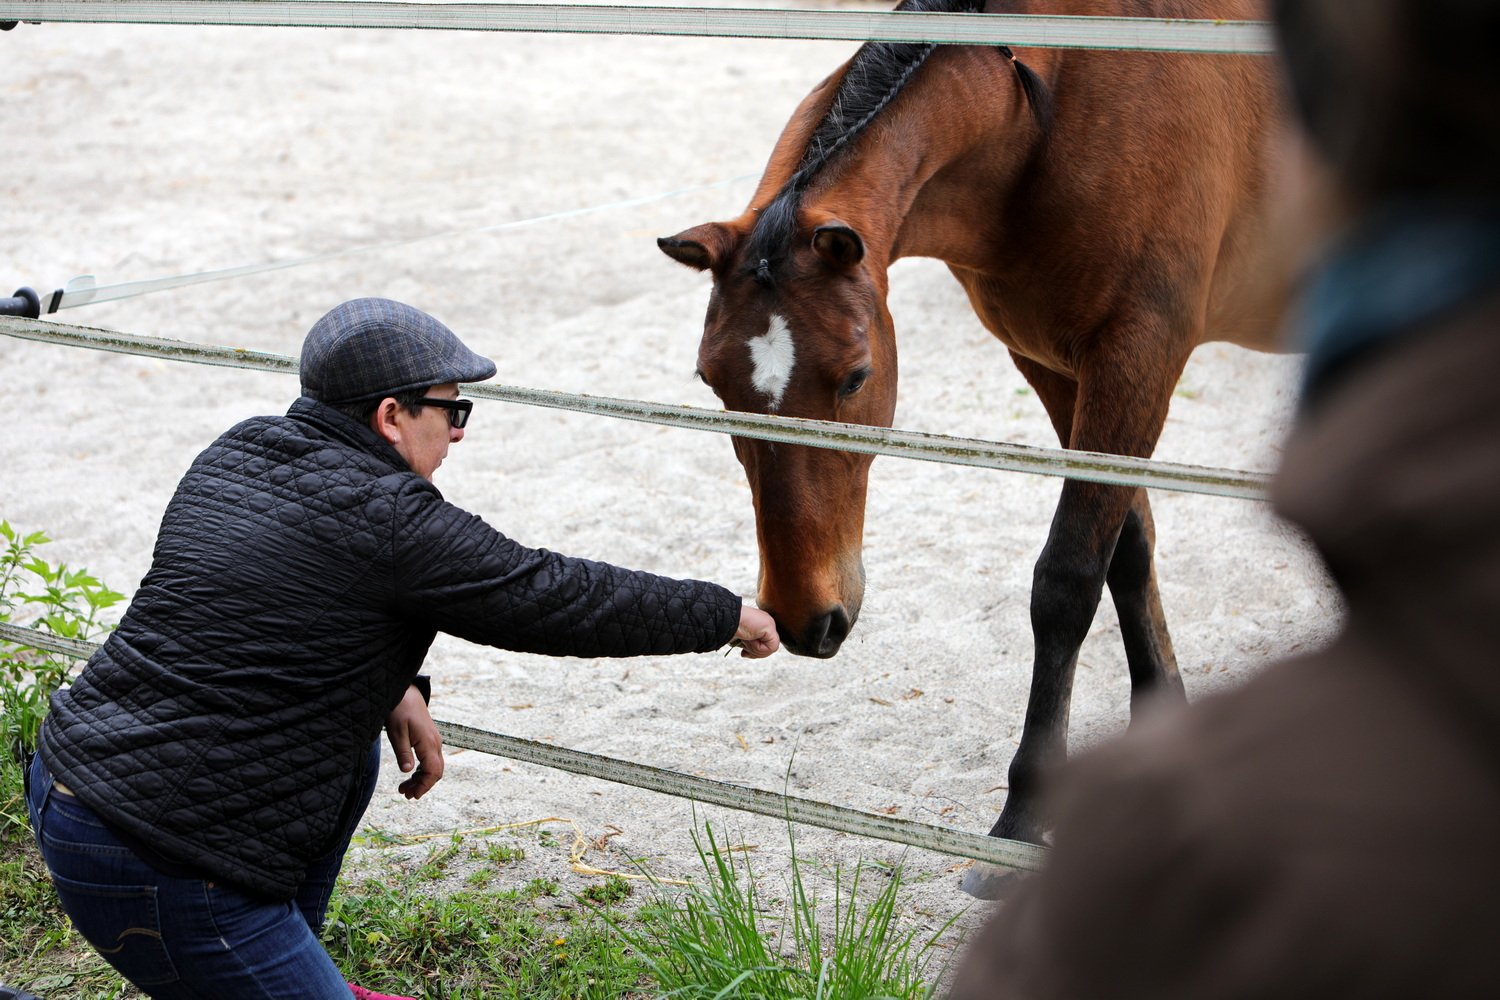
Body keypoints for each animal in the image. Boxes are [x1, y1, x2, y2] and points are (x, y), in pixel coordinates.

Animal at [659, 0, 1287, 896]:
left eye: (855, 379)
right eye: (713, 382)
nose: (802, 616)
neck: (1054, 103)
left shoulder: (1139, 356)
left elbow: (1068, 579)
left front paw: (1022, 821)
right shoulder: (1054, 363)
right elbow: (1128, 551)